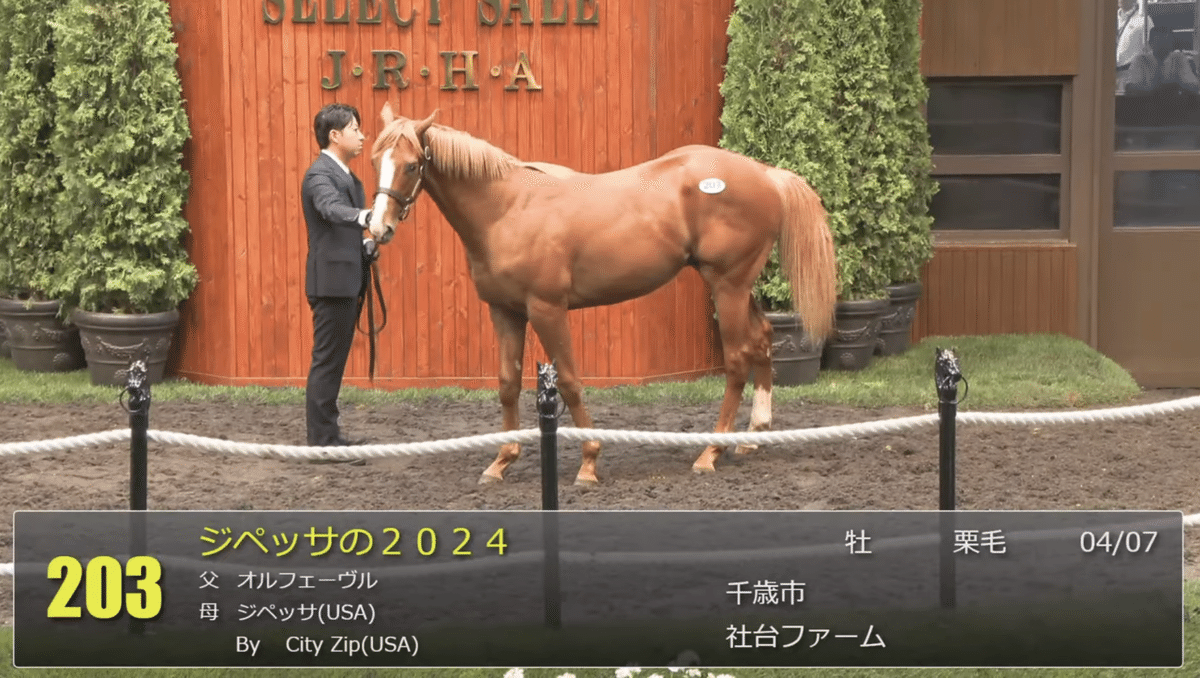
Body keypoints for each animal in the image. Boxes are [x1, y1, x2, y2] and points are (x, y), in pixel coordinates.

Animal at [366, 103, 838, 486]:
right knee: (762, 340)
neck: (508, 210)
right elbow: (507, 383)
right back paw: (754, 436)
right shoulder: (505, 311)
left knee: (738, 359)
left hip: (727, 285)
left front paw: (589, 461)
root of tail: (765, 174)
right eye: (375, 160)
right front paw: (502, 460)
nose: (378, 228)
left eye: (412, 166)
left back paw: (711, 452)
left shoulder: (547, 309)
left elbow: (570, 381)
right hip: (737, 286)